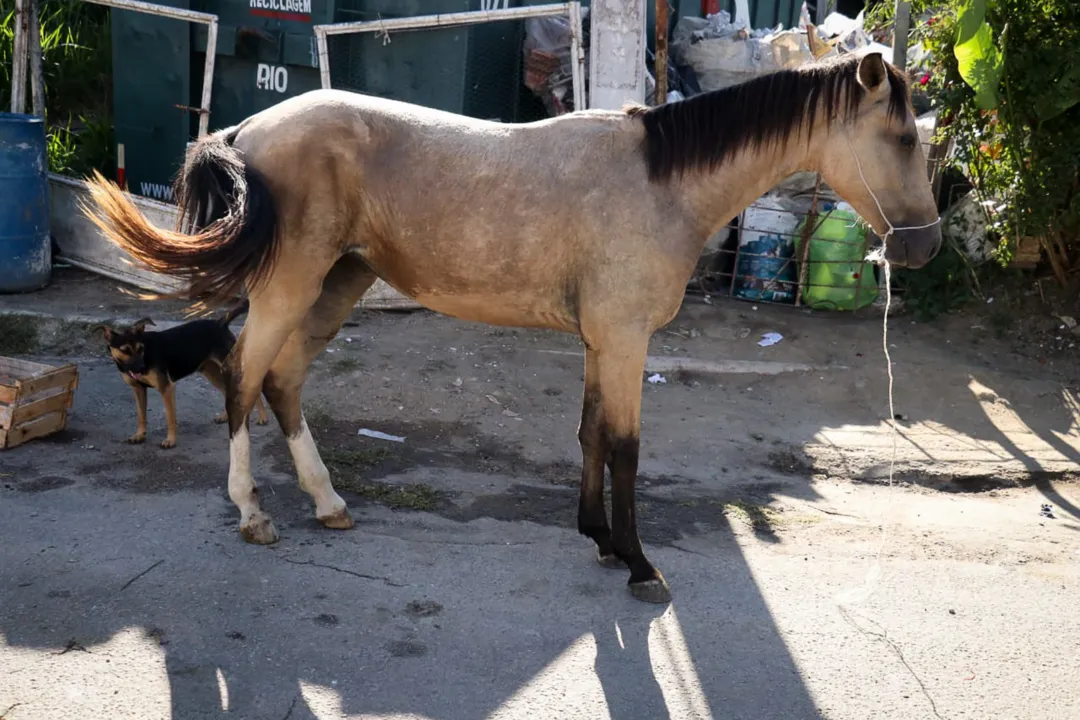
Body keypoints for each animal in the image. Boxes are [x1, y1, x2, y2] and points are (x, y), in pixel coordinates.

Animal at [96, 302, 268, 451]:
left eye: (140, 348)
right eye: (125, 350)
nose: (141, 368)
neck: (146, 354)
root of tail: (220, 323)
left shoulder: (166, 388)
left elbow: (170, 417)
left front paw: (170, 440)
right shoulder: (138, 389)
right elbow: (141, 415)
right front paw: (139, 435)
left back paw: (262, 418)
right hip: (212, 372)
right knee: (227, 391)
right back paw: (226, 416)